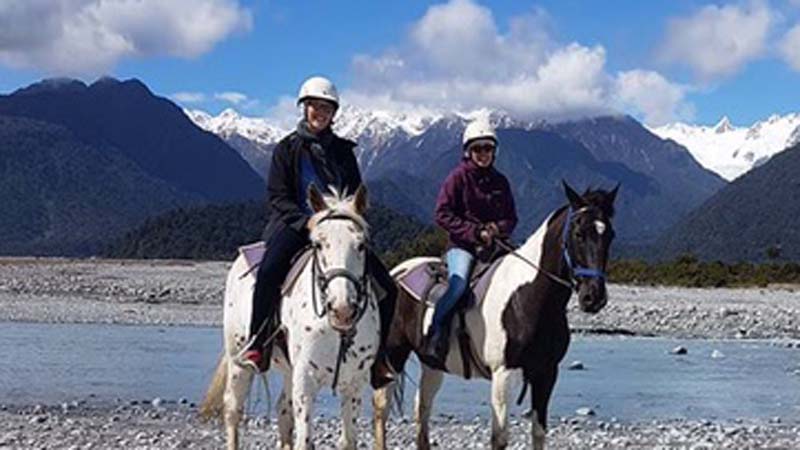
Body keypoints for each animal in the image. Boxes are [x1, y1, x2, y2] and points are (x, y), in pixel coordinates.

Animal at [205, 185, 382, 450]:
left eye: (361, 245)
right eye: (318, 244)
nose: (341, 309)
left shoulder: (353, 384)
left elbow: (348, 440)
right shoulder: (305, 381)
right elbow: (304, 440)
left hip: (289, 371)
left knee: (283, 411)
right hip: (239, 362)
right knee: (233, 411)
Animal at [374, 183, 620, 450]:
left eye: (609, 235)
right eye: (578, 233)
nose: (593, 297)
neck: (527, 297)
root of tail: (396, 272)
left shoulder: (546, 373)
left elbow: (539, 433)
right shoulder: (503, 374)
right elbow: (500, 438)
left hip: (432, 363)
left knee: (423, 407)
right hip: (394, 353)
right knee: (382, 407)